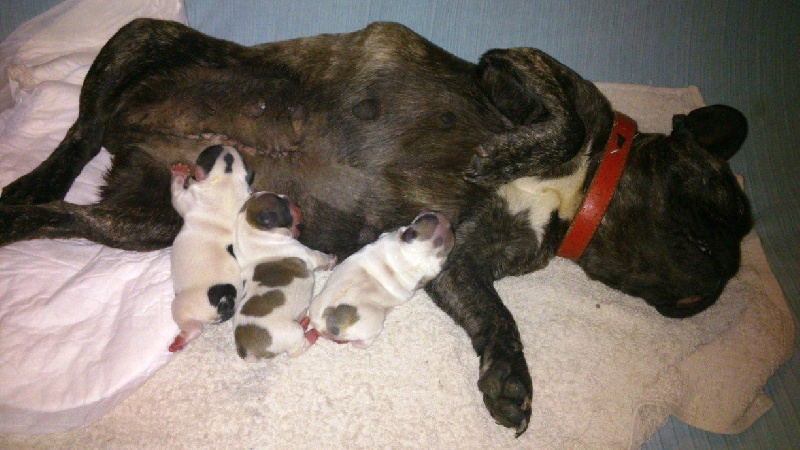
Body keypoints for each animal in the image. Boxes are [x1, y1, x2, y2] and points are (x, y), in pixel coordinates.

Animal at [168, 146, 253, 354]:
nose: (225, 145)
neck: (227, 176)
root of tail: (226, 299)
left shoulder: (188, 198)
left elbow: (176, 193)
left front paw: (179, 173)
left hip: (184, 303)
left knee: (194, 327)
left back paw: (181, 339)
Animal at [231, 192, 334, 360]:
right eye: (284, 204)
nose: (291, 199)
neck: (254, 233)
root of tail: (245, 351)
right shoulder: (310, 254)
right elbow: (322, 258)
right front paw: (332, 260)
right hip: (291, 332)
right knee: (296, 350)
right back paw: (311, 335)